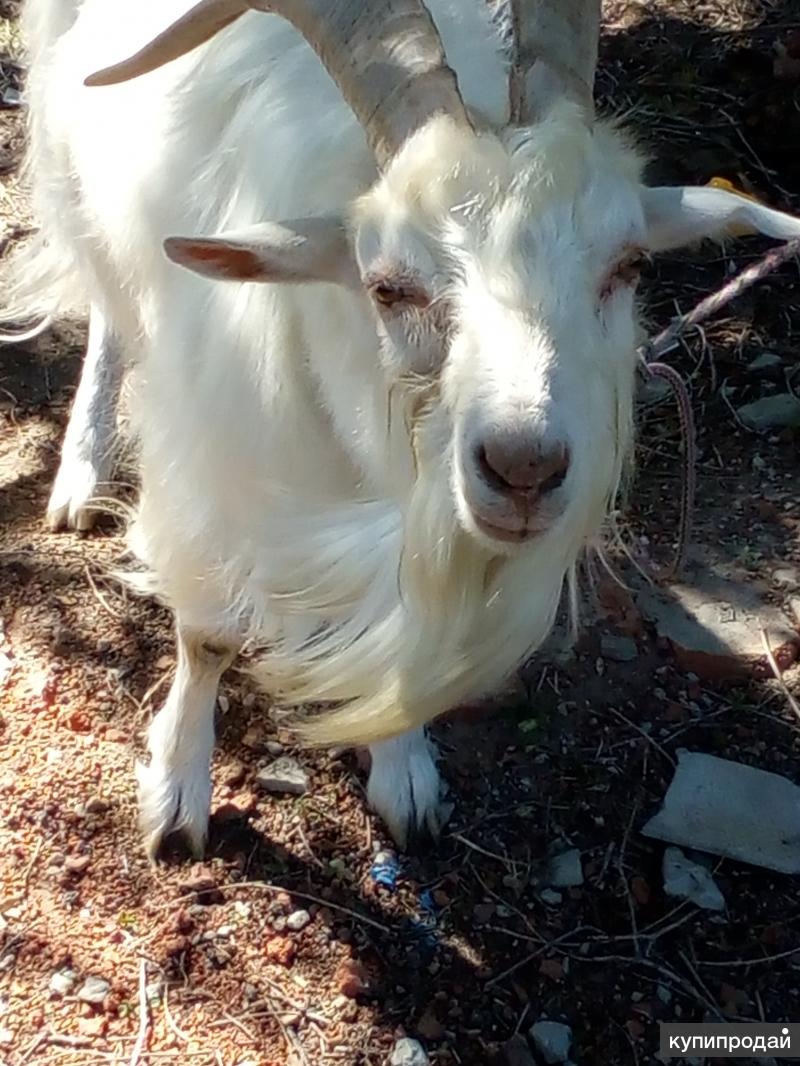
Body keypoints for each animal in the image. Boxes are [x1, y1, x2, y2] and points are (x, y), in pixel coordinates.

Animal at [9, 0, 800, 852]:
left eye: (628, 268)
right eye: (387, 287)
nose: (523, 469)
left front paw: (403, 772)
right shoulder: (216, 459)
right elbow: (208, 633)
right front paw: (175, 793)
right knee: (108, 304)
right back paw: (82, 470)